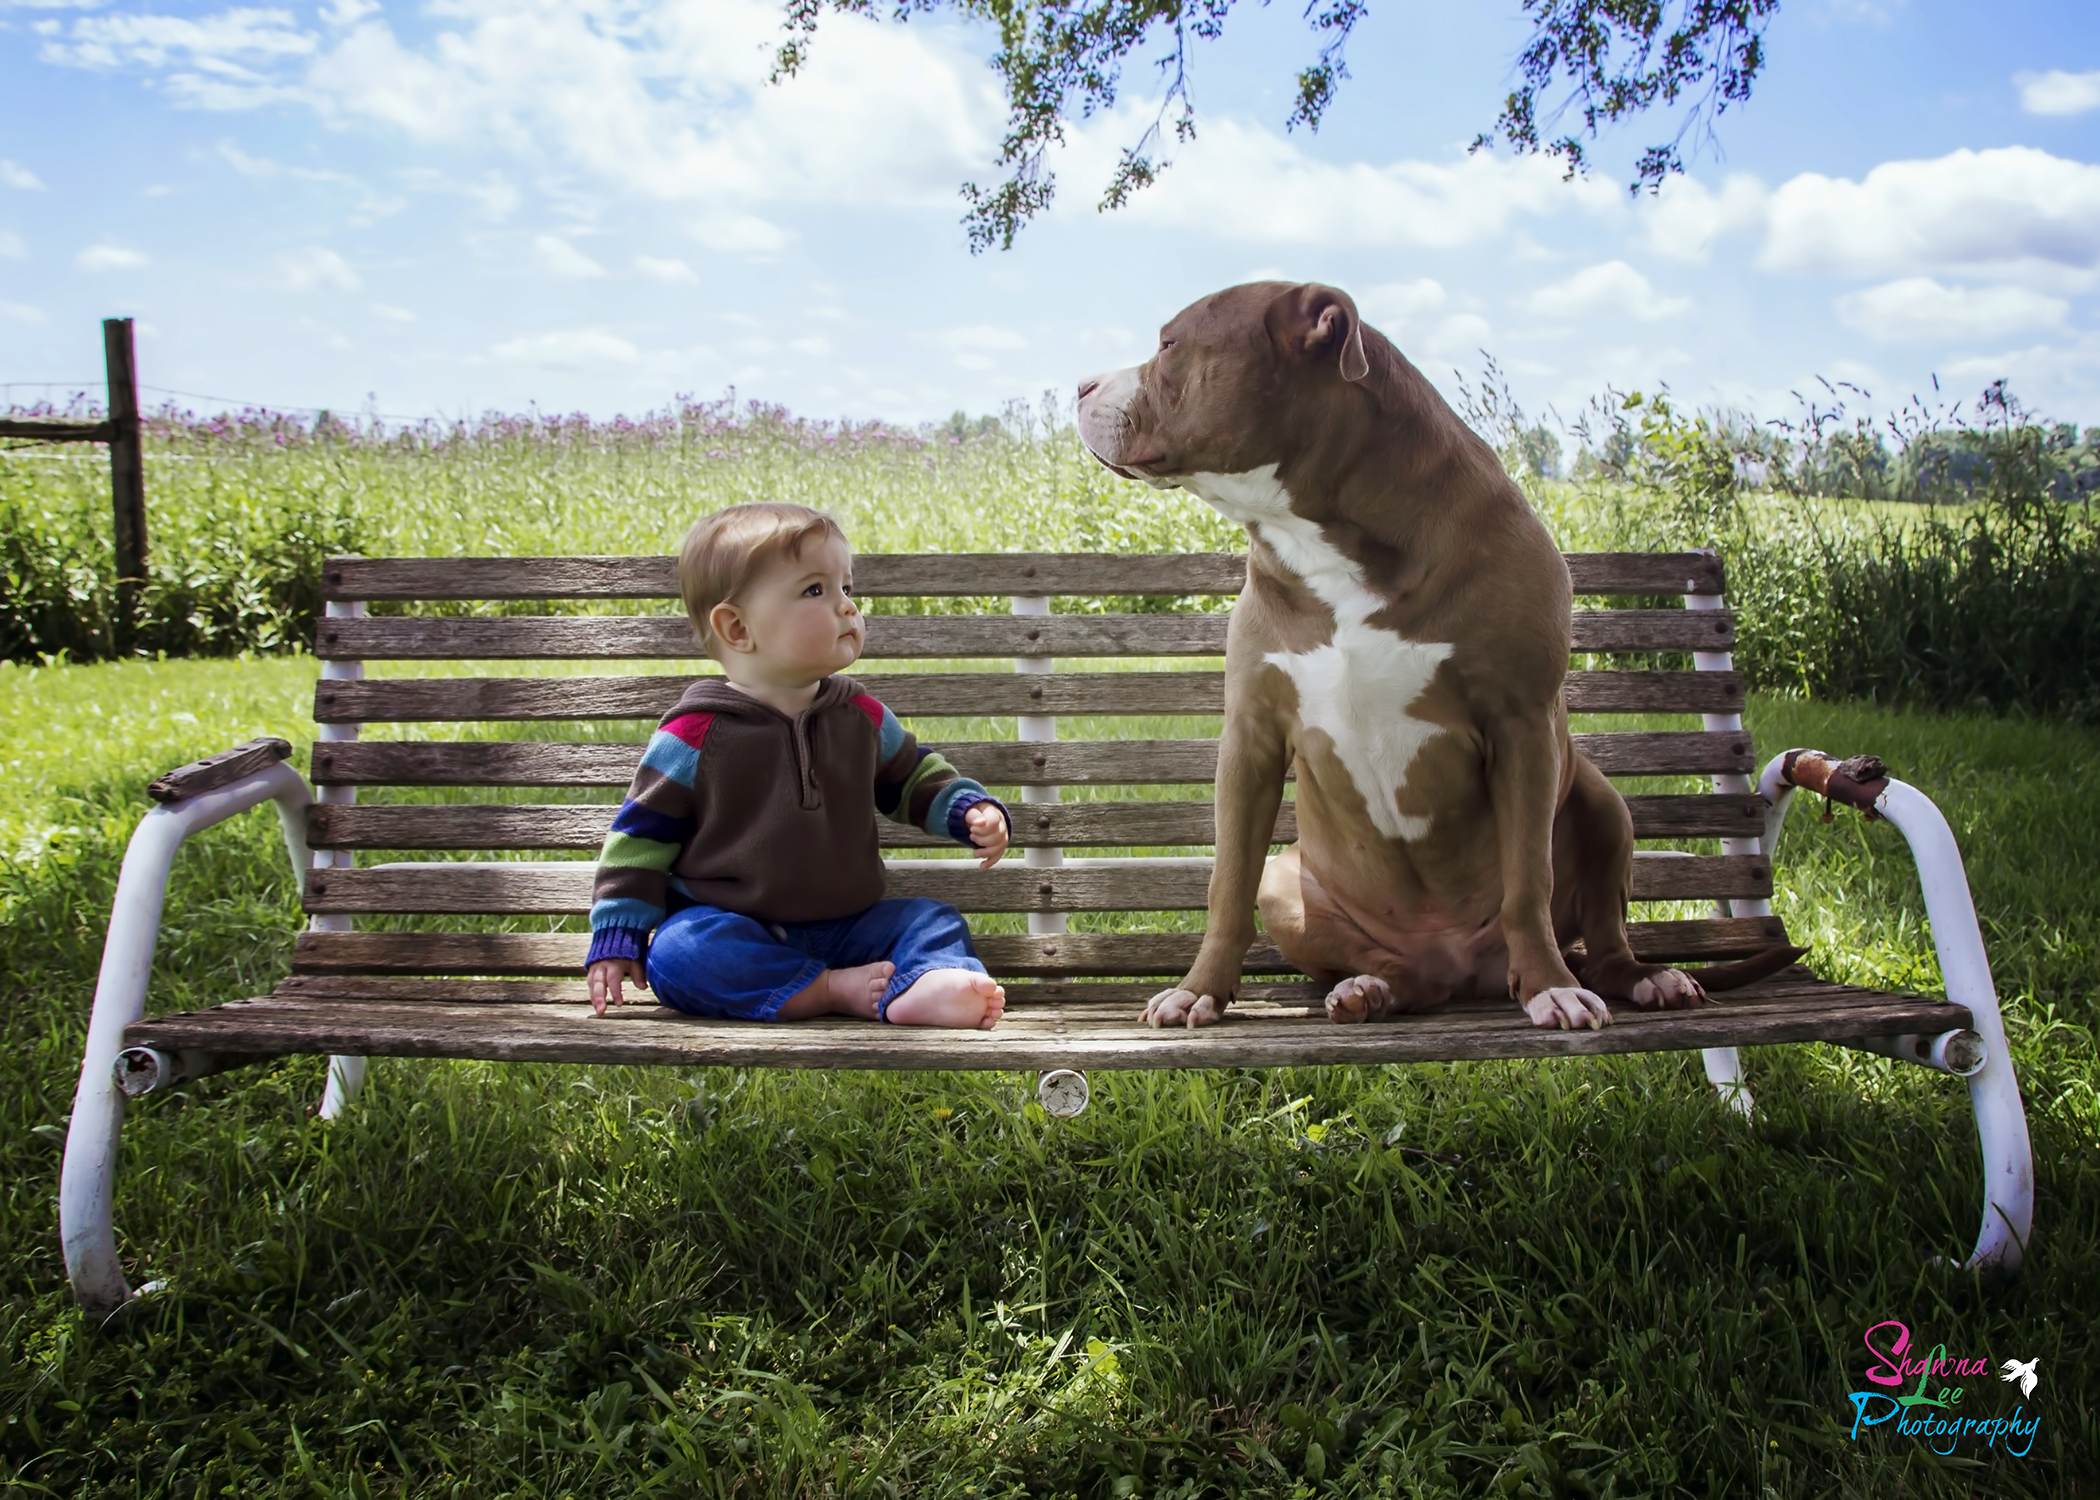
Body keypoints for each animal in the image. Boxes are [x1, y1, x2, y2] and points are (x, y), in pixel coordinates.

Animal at [1083, 281, 1789, 1029]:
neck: (1325, 542)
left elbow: (1528, 879)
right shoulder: (1251, 737)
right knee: (1386, 966)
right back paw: (1367, 989)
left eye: (1169, 344)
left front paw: (1551, 986)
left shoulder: (1522, 725)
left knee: (1603, 942)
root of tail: (1460, 972)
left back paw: (1644, 979)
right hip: (1293, 880)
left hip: (1605, 807)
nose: (1080, 385)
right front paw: (1199, 990)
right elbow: (1226, 882)